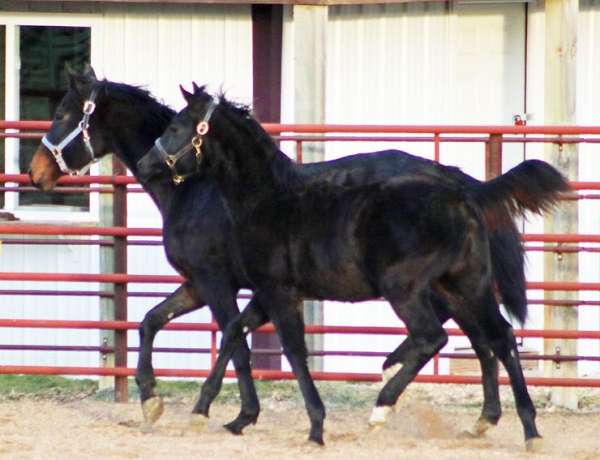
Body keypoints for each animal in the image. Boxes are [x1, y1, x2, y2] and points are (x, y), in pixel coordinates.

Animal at [31, 66, 524, 440]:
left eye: (63, 114)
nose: (35, 172)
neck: (200, 190)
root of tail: (454, 184)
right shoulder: (206, 285)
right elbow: (154, 321)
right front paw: (157, 401)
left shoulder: (218, 283)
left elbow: (237, 345)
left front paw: (225, 412)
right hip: (455, 283)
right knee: (483, 337)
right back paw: (476, 414)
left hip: (418, 286)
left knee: (456, 333)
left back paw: (394, 388)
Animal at [138, 85, 568, 450]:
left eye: (175, 126)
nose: (144, 165)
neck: (268, 200)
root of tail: (464, 197)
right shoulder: (266, 293)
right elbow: (235, 332)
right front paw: (222, 416)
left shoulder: (275, 291)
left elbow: (293, 350)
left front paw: (315, 428)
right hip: (464, 285)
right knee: (499, 337)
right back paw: (527, 430)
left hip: (406, 289)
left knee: (434, 337)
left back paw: (382, 405)